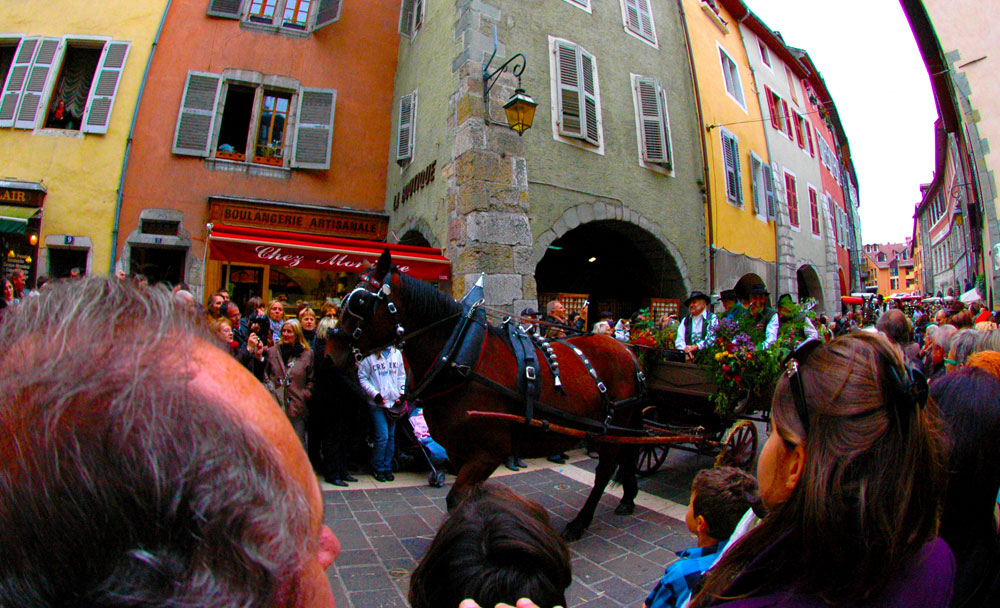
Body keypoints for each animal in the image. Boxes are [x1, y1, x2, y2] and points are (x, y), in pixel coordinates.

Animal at [332, 252, 644, 540]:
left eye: (360, 302)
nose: (332, 350)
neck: (459, 359)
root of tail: (627, 351)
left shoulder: (487, 452)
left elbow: (456, 500)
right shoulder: (457, 452)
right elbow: (466, 501)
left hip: (613, 428)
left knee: (605, 470)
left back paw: (581, 522)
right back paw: (628, 498)